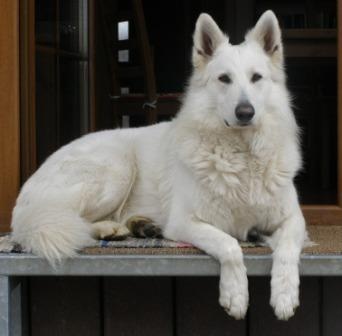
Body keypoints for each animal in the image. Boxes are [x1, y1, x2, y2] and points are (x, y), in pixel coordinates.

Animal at [11, 10, 304, 320]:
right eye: (224, 79)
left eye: (256, 77)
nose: (245, 112)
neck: (242, 155)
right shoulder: (184, 223)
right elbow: (230, 245)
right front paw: (235, 294)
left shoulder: (293, 219)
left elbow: (287, 250)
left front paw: (285, 295)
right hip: (116, 168)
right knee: (71, 222)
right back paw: (111, 229)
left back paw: (141, 227)